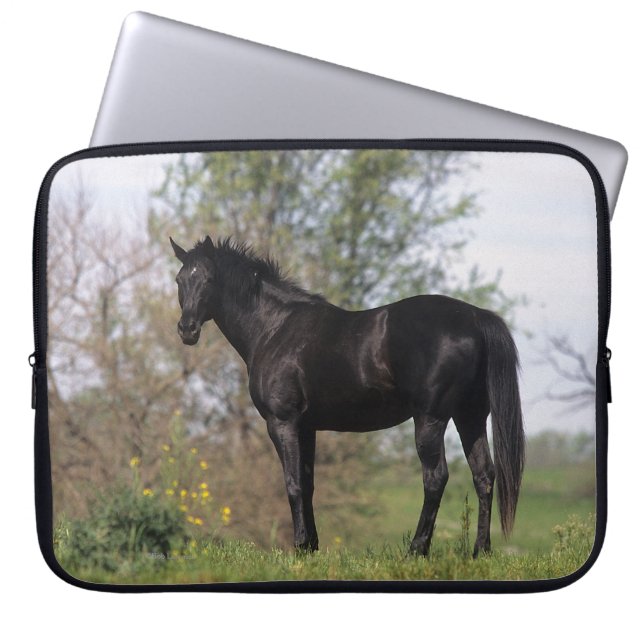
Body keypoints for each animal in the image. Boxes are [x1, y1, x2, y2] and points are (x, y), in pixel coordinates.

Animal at [170, 235, 525, 557]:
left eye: (209, 279)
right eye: (180, 279)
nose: (187, 330)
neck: (274, 329)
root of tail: (475, 317)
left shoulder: (282, 422)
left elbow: (292, 483)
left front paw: (298, 547)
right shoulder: (307, 426)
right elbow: (308, 483)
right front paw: (310, 547)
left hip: (431, 419)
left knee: (436, 478)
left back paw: (416, 550)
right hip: (470, 416)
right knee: (484, 475)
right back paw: (481, 550)